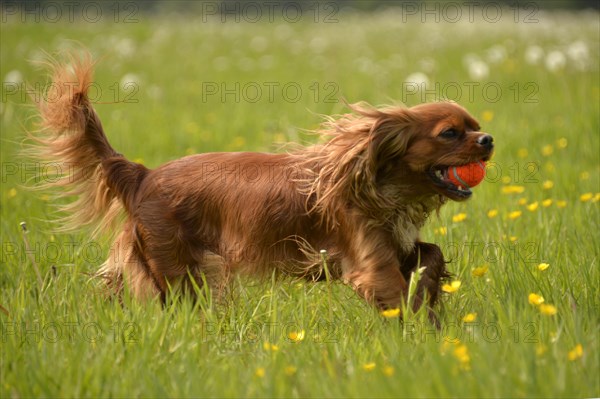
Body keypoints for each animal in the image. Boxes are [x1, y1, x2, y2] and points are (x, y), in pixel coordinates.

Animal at [30, 55, 494, 312]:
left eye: (476, 126)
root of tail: (143, 174)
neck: (382, 187)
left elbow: (430, 255)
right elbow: (394, 294)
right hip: (178, 269)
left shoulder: (397, 243)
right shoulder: (370, 263)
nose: (489, 140)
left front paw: (430, 298)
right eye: (450, 133)